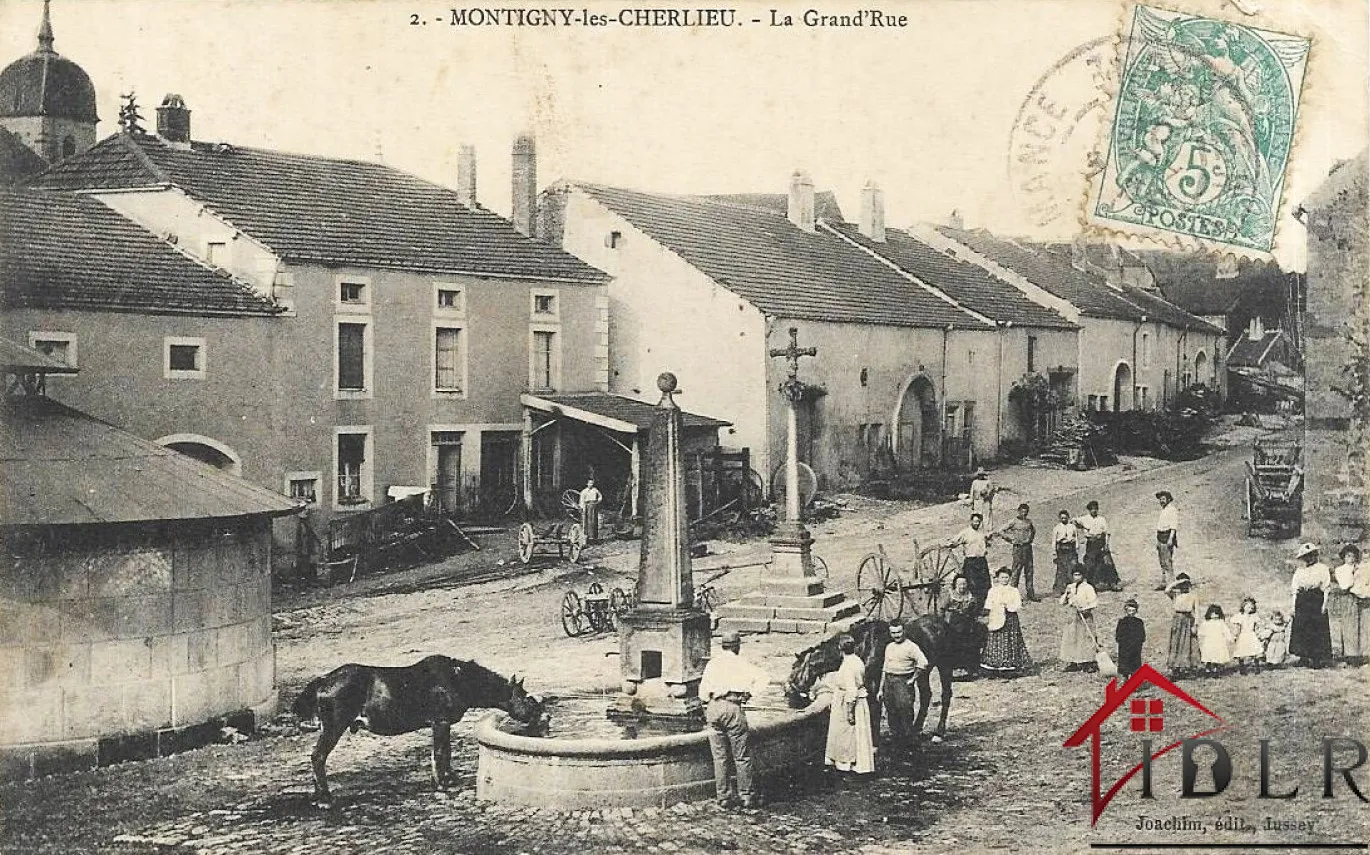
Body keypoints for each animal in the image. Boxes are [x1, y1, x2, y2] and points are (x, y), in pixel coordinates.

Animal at [293, 657, 545, 805]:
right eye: (526, 698)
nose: (544, 717)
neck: (456, 678)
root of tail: (323, 680)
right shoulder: (440, 721)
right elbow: (440, 753)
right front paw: (441, 785)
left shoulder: (443, 724)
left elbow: (445, 753)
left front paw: (448, 780)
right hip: (333, 728)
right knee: (318, 757)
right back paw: (325, 797)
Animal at [783, 616, 975, 745]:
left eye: (794, 667)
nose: (787, 692)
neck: (864, 644)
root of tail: (943, 624)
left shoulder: (874, 680)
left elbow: (875, 707)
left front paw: (874, 741)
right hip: (924, 671)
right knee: (926, 696)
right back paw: (915, 729)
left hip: (945, 666)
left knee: (945, 696)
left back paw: (938, 733)